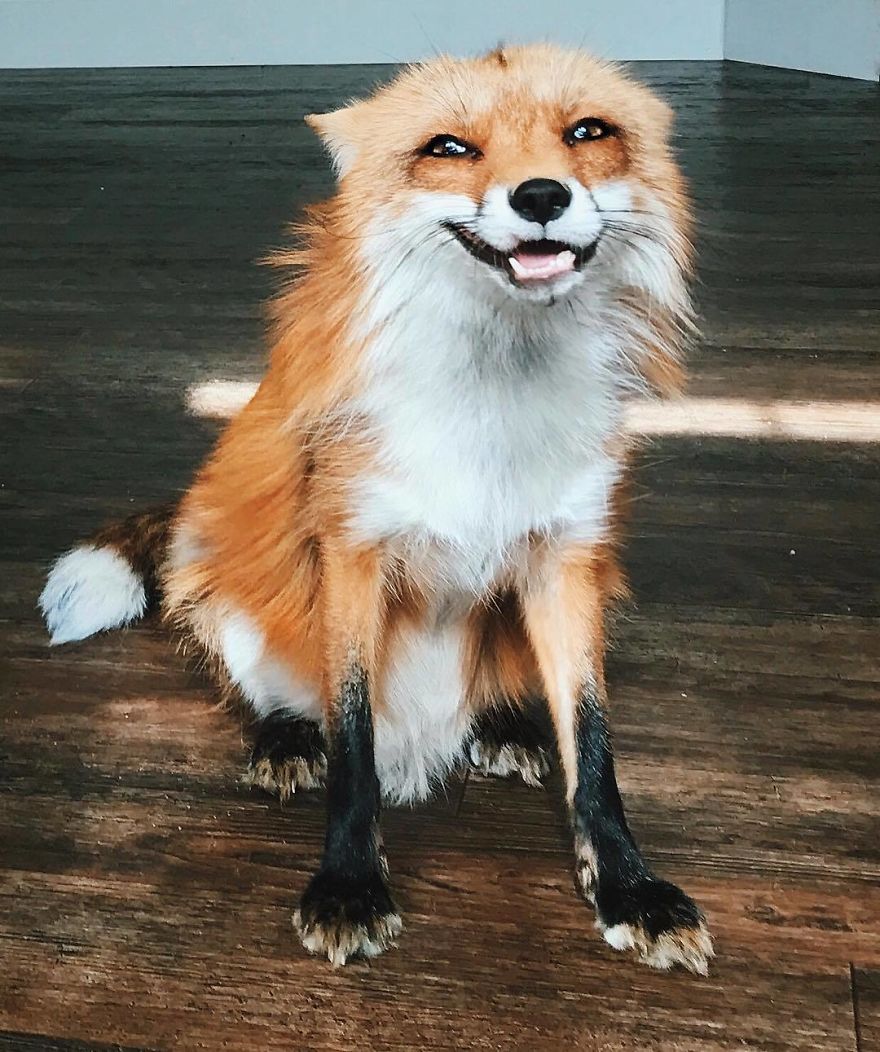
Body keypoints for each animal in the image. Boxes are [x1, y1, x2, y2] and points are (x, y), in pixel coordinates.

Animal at [40, 43, 713, 974]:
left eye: (588, 132)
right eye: (450, 148)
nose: (541, 195)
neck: (491, 415)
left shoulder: (568, 557)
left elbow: (594, 745)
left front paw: (628, 887)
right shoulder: (353, 550)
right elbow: (353, 740)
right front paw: (350, 884)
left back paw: (506, 726)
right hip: (224, 578)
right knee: (278, 689)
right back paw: (288, 738)